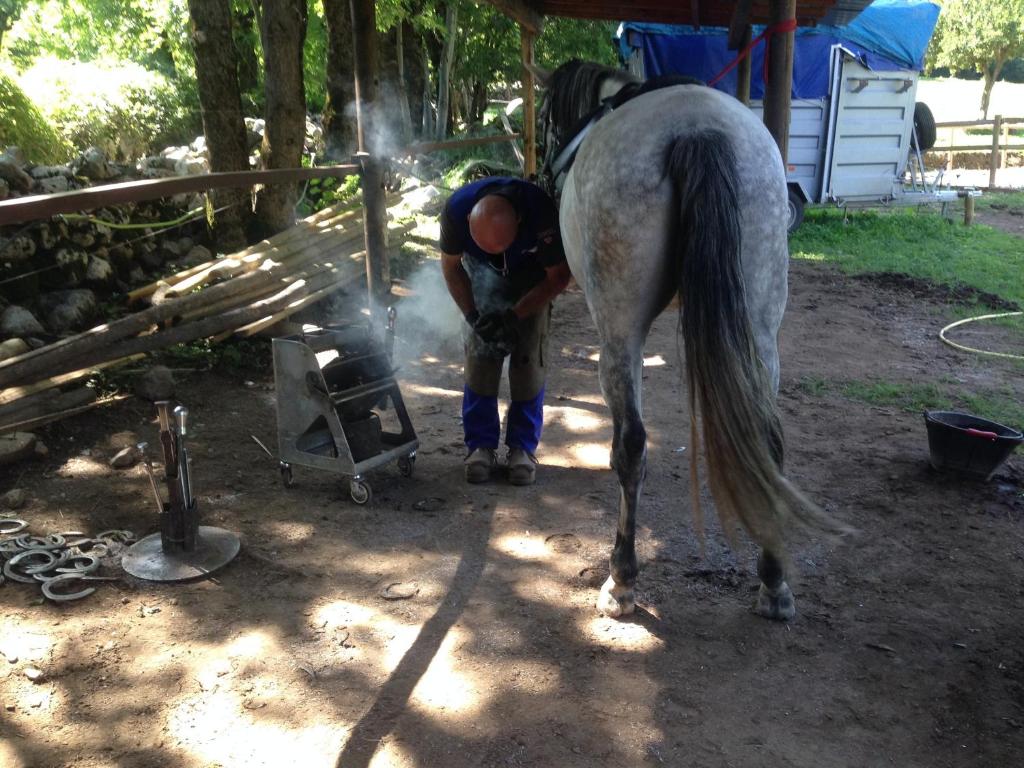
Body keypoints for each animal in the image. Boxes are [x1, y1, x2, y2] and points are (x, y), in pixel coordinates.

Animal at [528, 61, 839, 626]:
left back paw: (621, 580)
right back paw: (774, 583)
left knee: (630, 446)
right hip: (761, 326)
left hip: (618, 331)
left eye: (543, 117)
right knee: (768, 437)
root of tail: (698, 128)